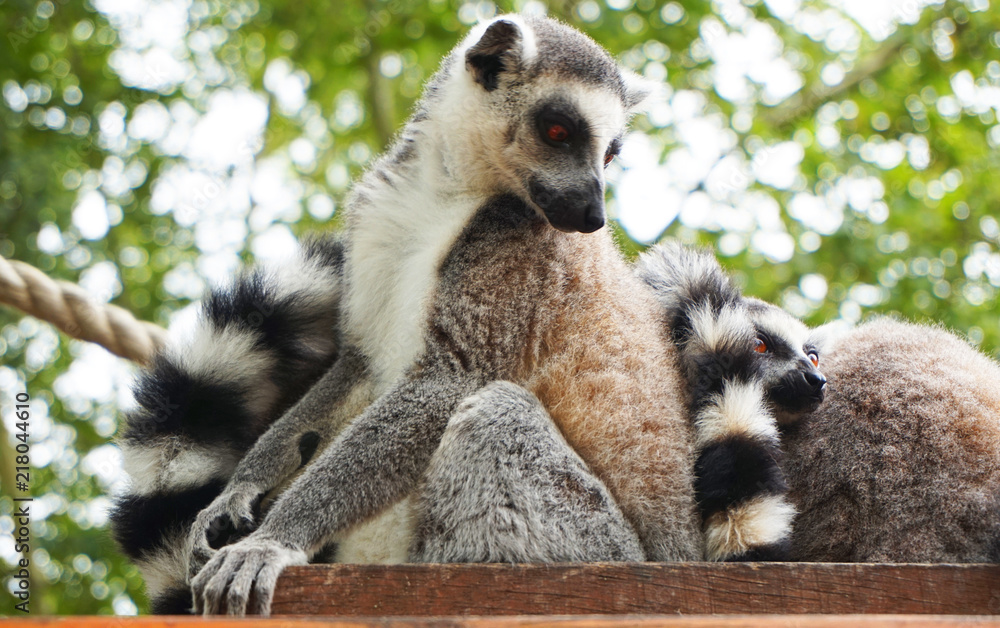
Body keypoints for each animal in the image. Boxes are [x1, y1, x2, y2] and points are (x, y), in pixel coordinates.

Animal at [179, 15, 700, 616]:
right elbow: (357, 364)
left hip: (592, 540)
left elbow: (450, 381)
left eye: (610, 153)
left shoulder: (519, 250)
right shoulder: (375, 221)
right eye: (558, 132)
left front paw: (272, 540)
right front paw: (242, 488)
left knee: (496, 416)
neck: (448, 188)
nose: (594, 215)